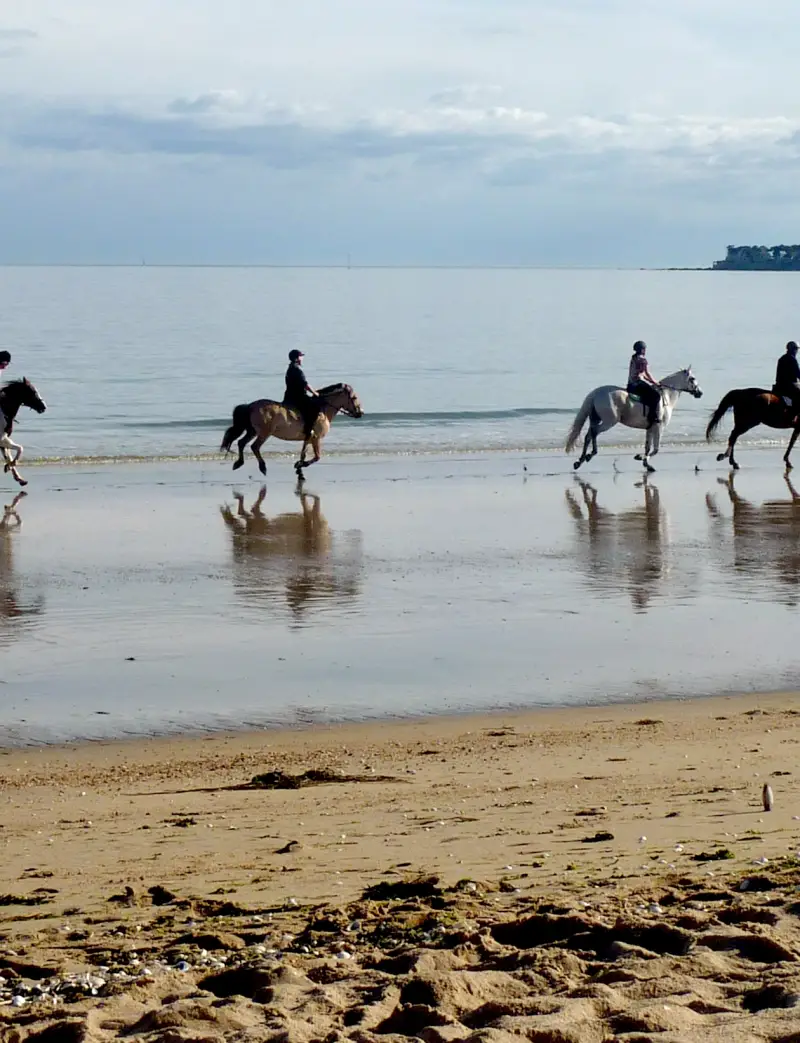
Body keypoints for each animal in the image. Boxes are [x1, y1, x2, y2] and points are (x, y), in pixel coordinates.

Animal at [221, 383, 363, 480]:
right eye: (355, 398)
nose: (360, 413)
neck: (322, 409)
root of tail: (250, 406)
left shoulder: (308, 438)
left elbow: (303, 453)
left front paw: (299, 468)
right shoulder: (315, 438)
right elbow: (317, 456)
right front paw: (300, 466)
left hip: (252, 431)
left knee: (241, 443)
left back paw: (238, 463)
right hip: (264, 433)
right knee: (254, 446)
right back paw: (262, 467)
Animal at [565, 368, 703, 472]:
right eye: (692, 378)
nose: (700, 393)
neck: (667, 396)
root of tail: (595, 393)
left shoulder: (650, 428)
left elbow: (648, 447)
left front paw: (646, 463)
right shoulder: (659, 427)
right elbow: (656, 449)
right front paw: (641, 458)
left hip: (596, 419)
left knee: (588, 435)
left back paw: (580, 460)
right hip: (608, 422)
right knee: (594, 433)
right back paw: (591, 454)